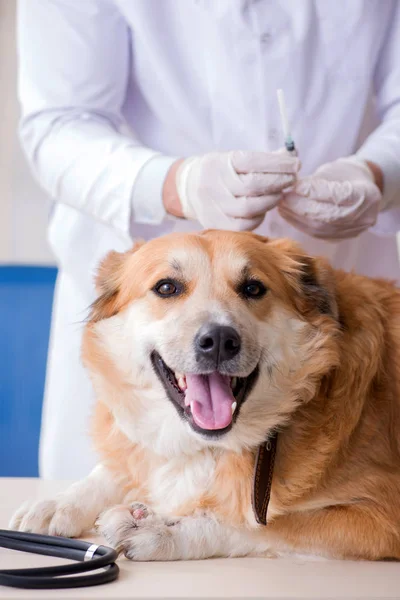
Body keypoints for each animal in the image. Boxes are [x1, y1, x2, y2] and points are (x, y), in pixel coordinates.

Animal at [8, 231, 400, 564]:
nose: (220, 340)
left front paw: (162, 530)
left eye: (253, 288)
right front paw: (60, 501)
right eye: (167, 287)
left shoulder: (380, 513)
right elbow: (117, 465)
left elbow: (257, 525)